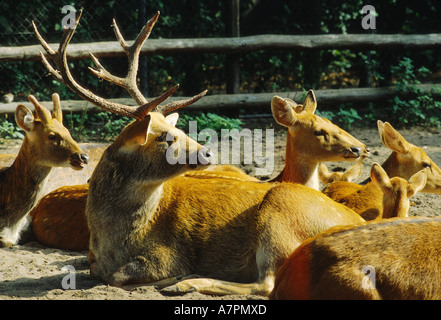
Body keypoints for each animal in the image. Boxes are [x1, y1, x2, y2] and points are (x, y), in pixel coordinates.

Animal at [31, 10, 368, 298]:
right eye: (165, 137)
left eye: (177, 129)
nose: (206, 153)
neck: (115, 237)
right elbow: (98, 272)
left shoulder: (168, 253)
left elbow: (119, 276)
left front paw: (174, 277)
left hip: (280, 213)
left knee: (267, 283)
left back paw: (186, 282)